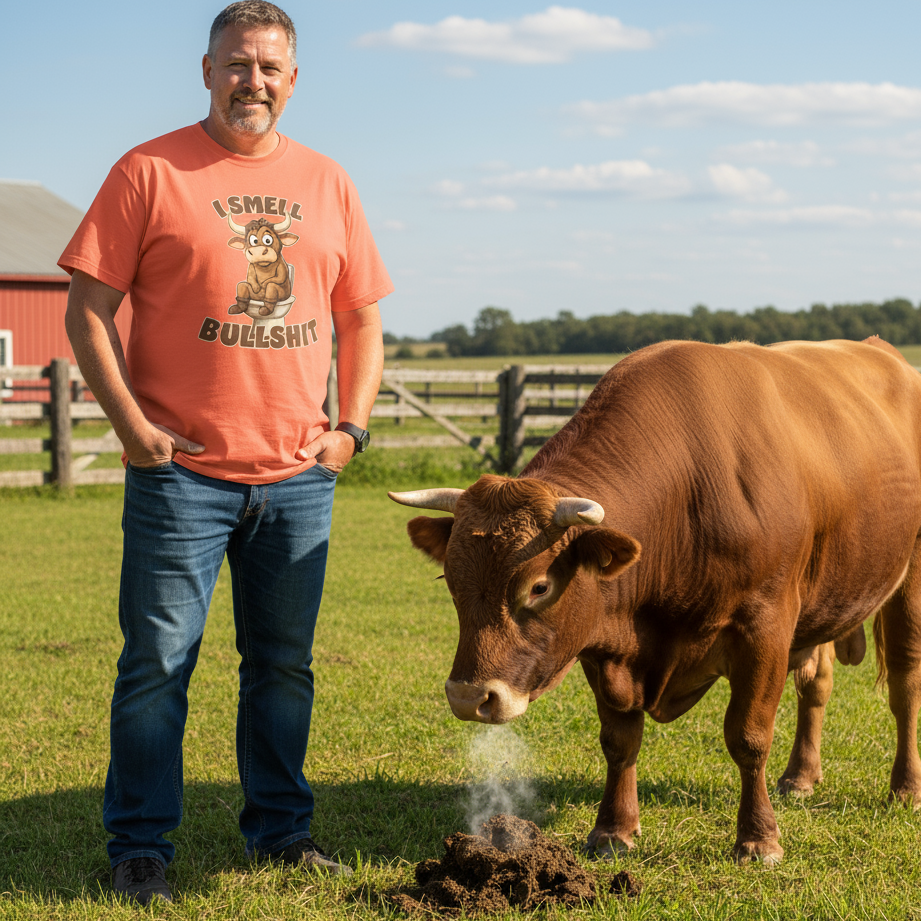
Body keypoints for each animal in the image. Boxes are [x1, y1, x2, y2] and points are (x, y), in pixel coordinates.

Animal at [389, 336, 921, 865]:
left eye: (539, 586)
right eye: (450, 579)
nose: (468, 697)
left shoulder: (764, 628)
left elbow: (748, 736)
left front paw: (758, 838)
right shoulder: (603, 644)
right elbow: (619, 740)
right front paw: (613, 830)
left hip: (908, 584)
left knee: (904, 686)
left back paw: (905, 787)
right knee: (816, 684)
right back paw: (801, 776)